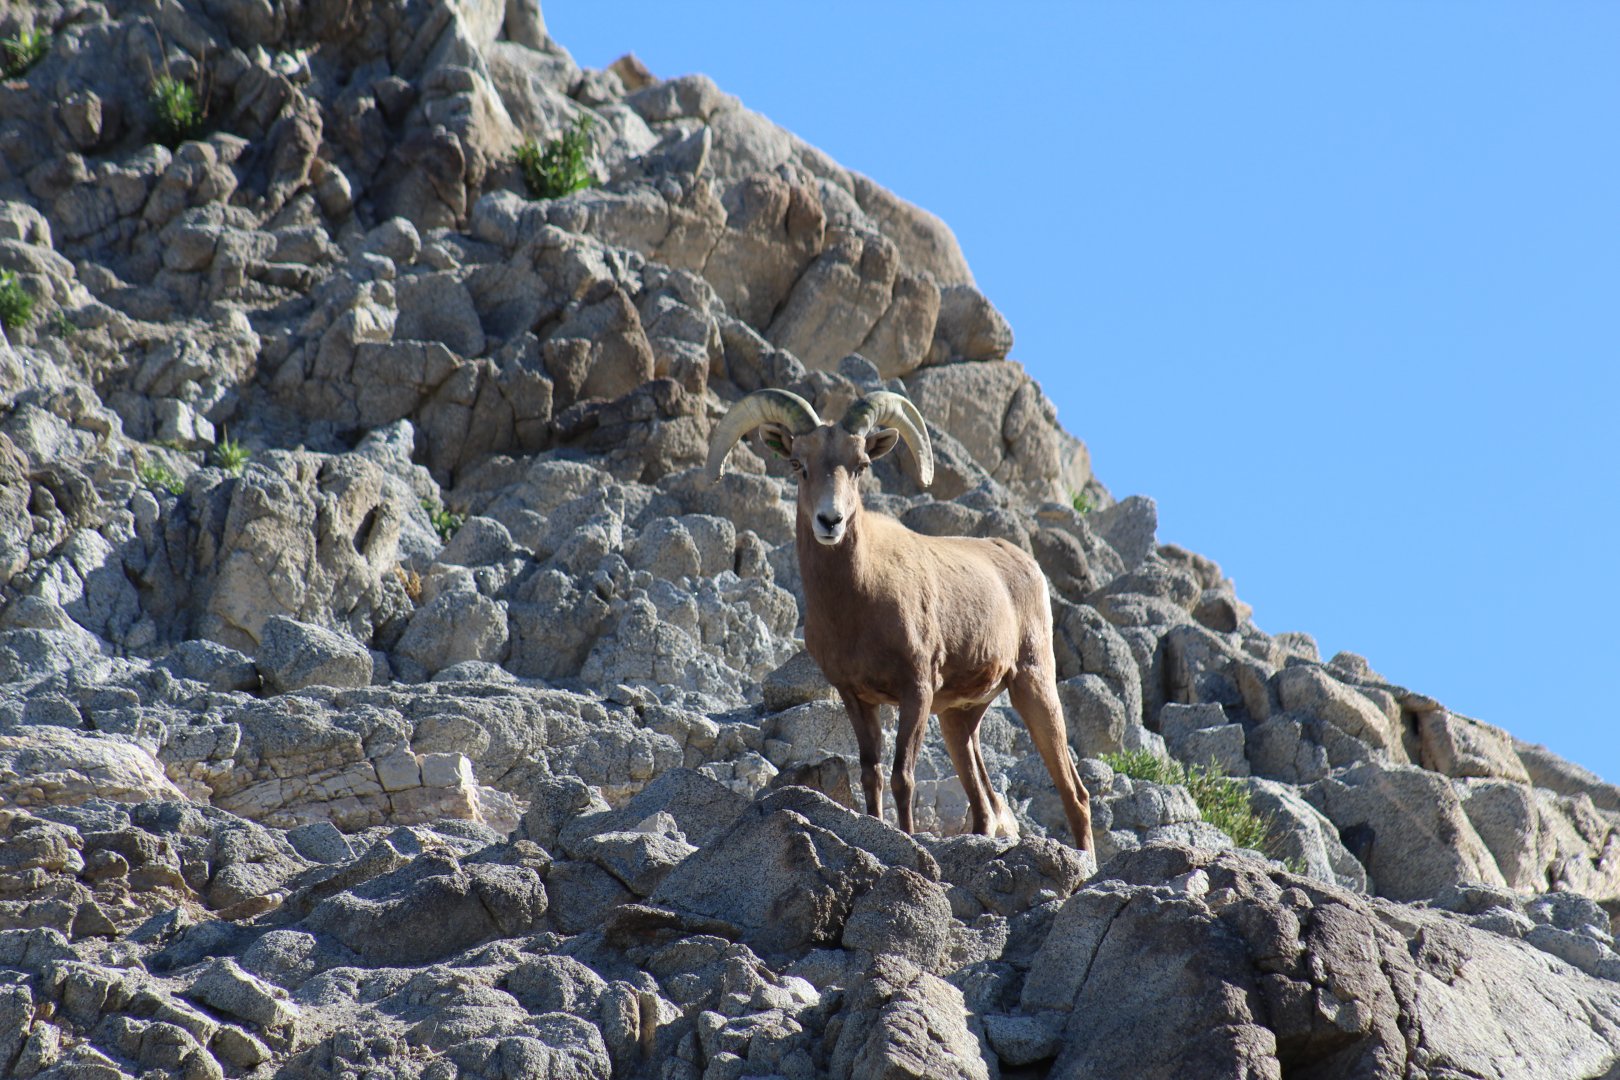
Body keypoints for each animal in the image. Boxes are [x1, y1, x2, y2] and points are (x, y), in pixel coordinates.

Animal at [704, 387, 1094, 851]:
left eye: (860, 466)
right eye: (798, 464)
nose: (830, 521)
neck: (856, 604)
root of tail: (1024, 562)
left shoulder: (917, 691)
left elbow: (902, 777)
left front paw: (906, 836)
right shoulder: (857, 697)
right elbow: (871, 773)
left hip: (1033, 686)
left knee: (1074, 793)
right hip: (959, 720)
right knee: (983, 804)